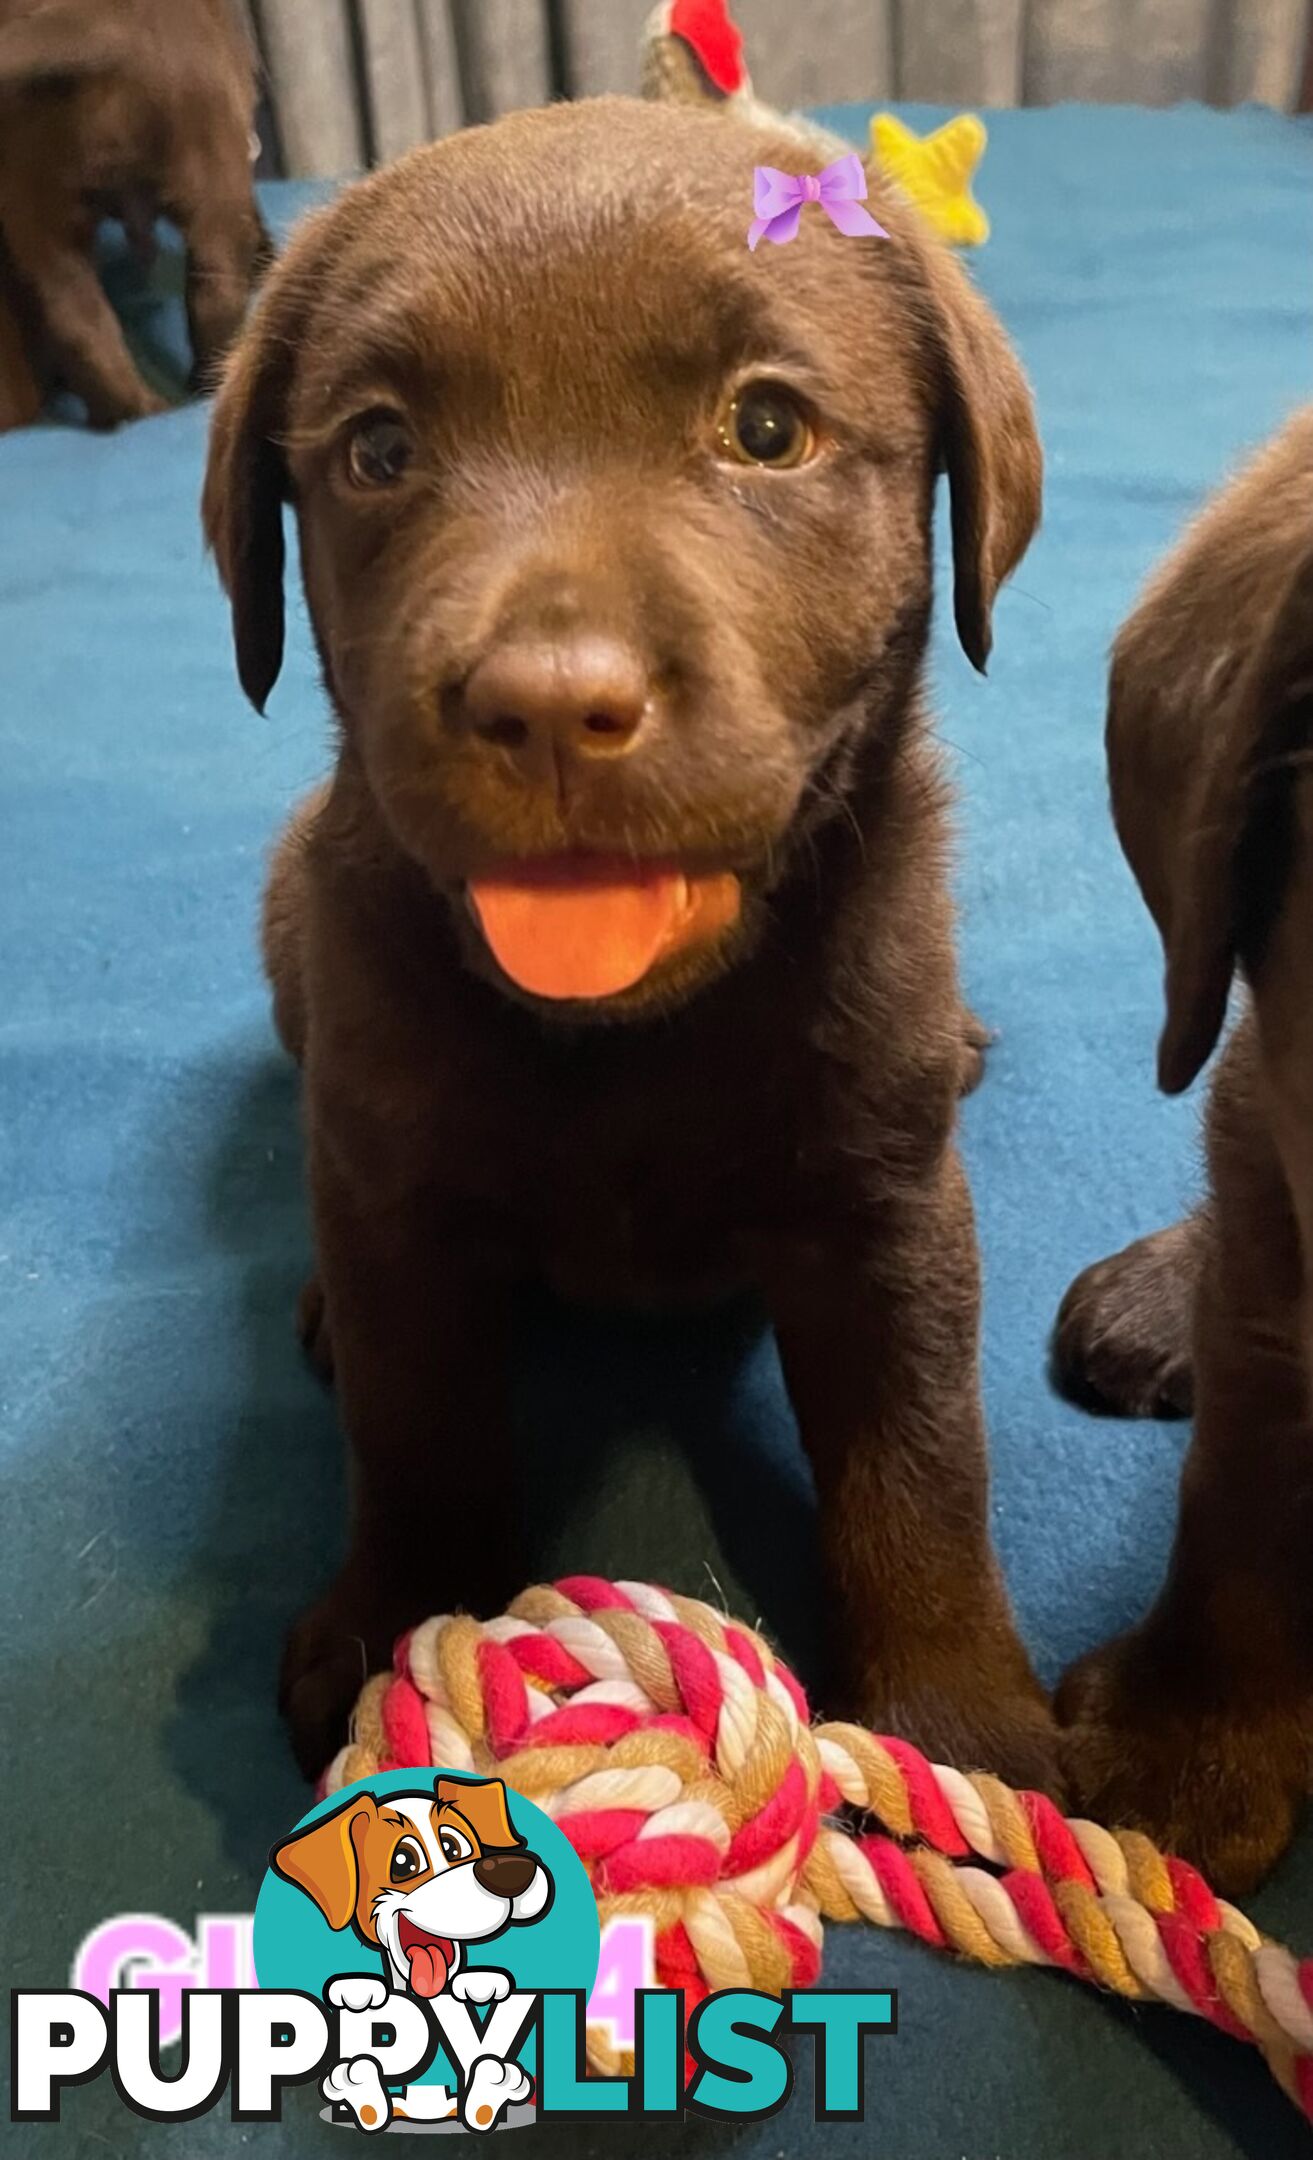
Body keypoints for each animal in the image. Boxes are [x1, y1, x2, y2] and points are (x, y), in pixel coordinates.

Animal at [0, 0, 266, 425]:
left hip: (34, 204)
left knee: (76, 319)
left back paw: (130, 413)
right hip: (216, 178)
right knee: (216, 293)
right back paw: (203, 385)